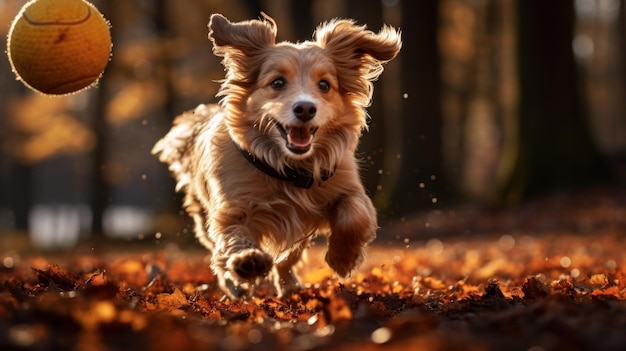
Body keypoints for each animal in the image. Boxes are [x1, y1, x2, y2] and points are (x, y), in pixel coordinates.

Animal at [154, 13, 402, 300]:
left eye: (324, 85)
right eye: (278, 83)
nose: (305, 108)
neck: (289, 168)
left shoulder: (346, 187)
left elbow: (354, 214)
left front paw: (343, 258)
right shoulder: (232, 209)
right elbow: (232, 237)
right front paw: (246, 262)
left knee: (289, 258)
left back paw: (289, 284)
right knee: (219, 253)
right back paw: (237, 284)